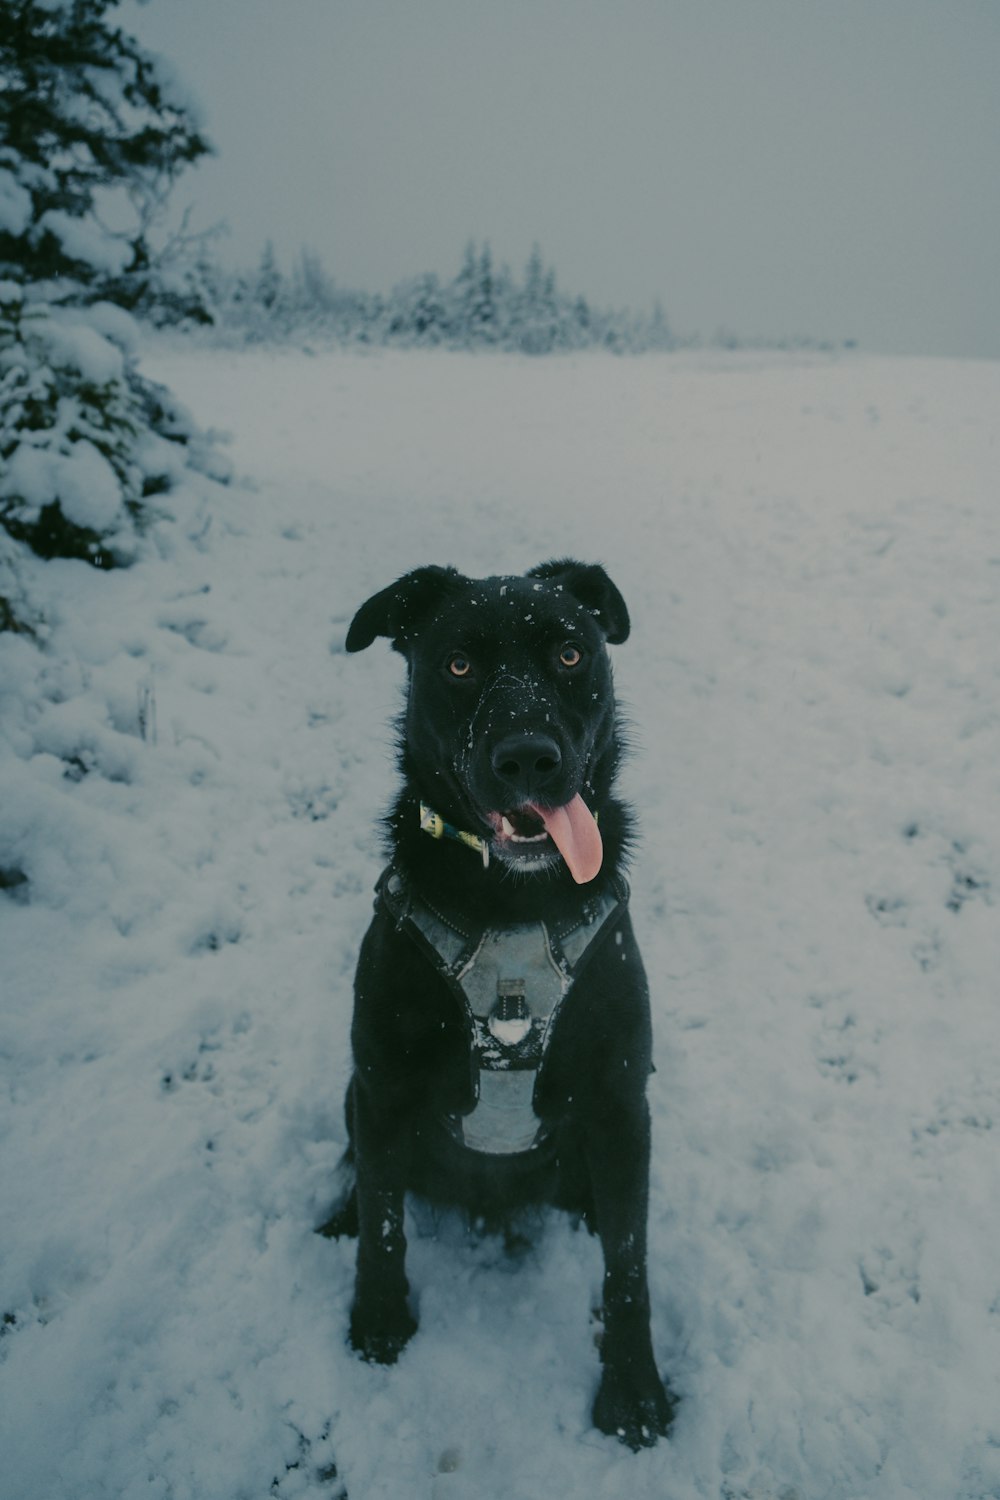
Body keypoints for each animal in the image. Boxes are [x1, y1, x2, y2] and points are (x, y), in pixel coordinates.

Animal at [322, 558, 671, 1446]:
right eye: (457, 665)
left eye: (571, 654)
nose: (528, 760)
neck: (512, 908)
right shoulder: (382, 1088)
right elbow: (384, 1228)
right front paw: (378, 1320)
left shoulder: (621, 1104)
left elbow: (629, 1266)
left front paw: (634, 1388)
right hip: (354, 1095)